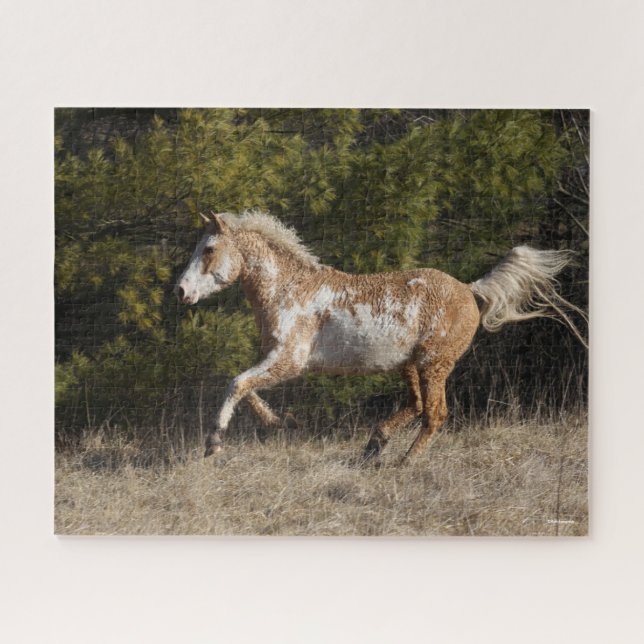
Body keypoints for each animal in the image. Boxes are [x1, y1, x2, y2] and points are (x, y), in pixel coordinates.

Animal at [175, 210, 586, 463]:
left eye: (208, 249)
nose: (181, 291)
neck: (288, 290)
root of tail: (470, 290)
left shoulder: (290, 361)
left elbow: (237, 383)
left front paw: (214, 443)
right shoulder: (275, 360)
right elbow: (247, 388)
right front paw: (285, 423)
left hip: (434, 364)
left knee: (435, 414)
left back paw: (404, 462)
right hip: (409, 365)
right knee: (417, 406)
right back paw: (375, 445)